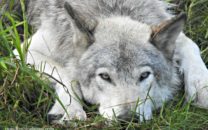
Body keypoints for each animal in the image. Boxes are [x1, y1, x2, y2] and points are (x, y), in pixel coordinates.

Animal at [14, 0, 208, 124]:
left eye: (144, 75)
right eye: (105, 76)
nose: (128, 119)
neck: (115, 6)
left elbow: (190, 44)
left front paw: (202, 89)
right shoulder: (25, 50)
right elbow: (67, 75)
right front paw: (70, 110)